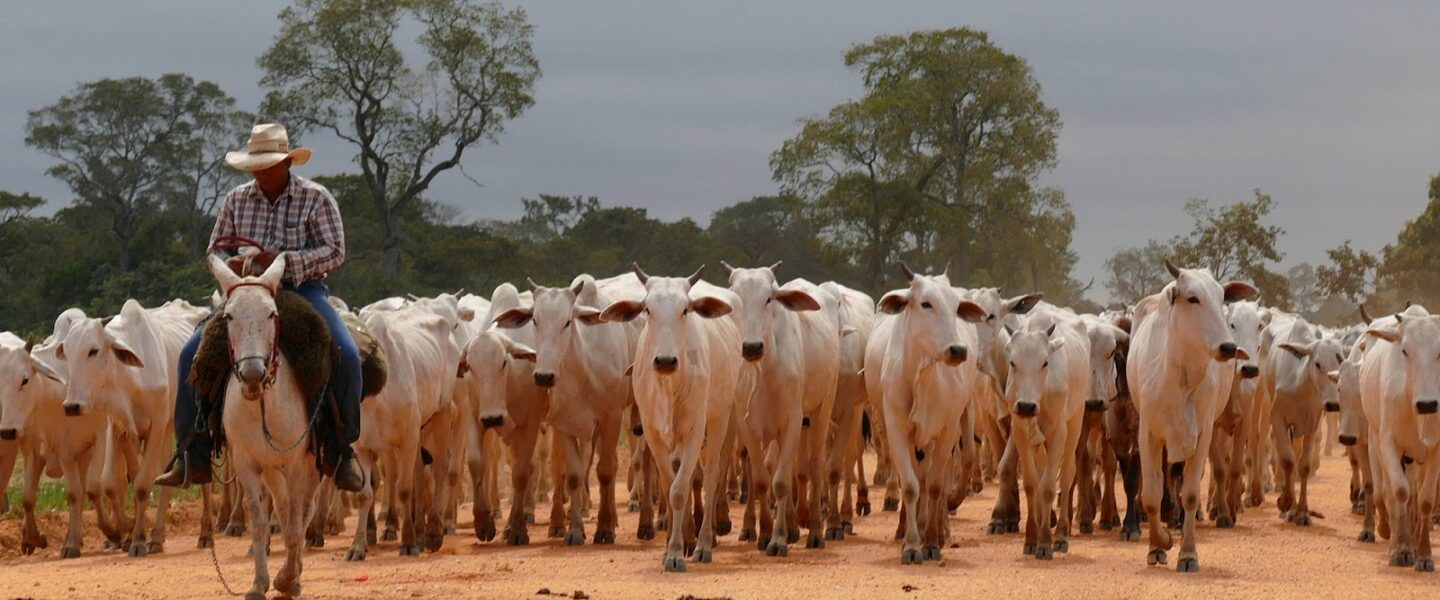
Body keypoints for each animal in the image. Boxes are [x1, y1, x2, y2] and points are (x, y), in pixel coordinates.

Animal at [208, 253, 324, 598]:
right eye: (229, 316)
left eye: (271, 314)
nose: (251, 375)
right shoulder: (247, 463)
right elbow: (260, 522)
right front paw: (260, 582)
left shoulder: (298, 464)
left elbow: (297, 522)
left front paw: (287, 578)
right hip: (273, 470)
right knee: (284, 511)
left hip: (315, 464)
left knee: (304, 511)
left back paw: (294, 574)